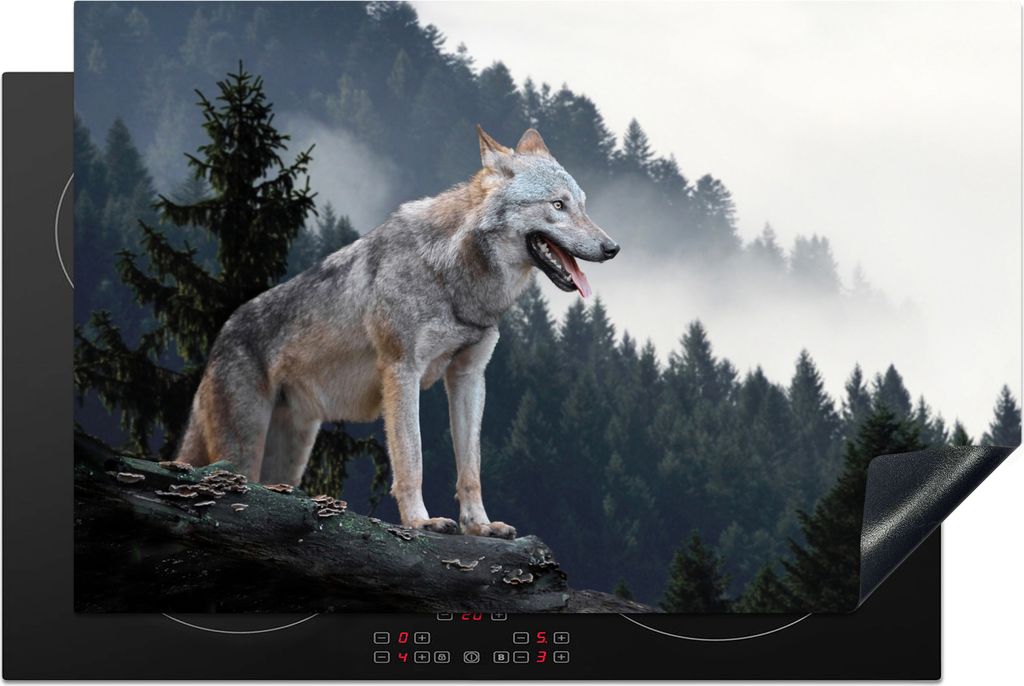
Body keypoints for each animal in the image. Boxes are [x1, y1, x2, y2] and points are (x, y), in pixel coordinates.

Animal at [177, 126, 620, 538]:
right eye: (557, 205)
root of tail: (219, 338)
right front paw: (421, 521)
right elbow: (412, 458)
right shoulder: (402, 370)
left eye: (582, 205)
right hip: (244, 449)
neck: (453, 276)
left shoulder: (469, 377)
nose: (612, 248)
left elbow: (471, 467)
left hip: (289, 458)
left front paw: (479, 526)